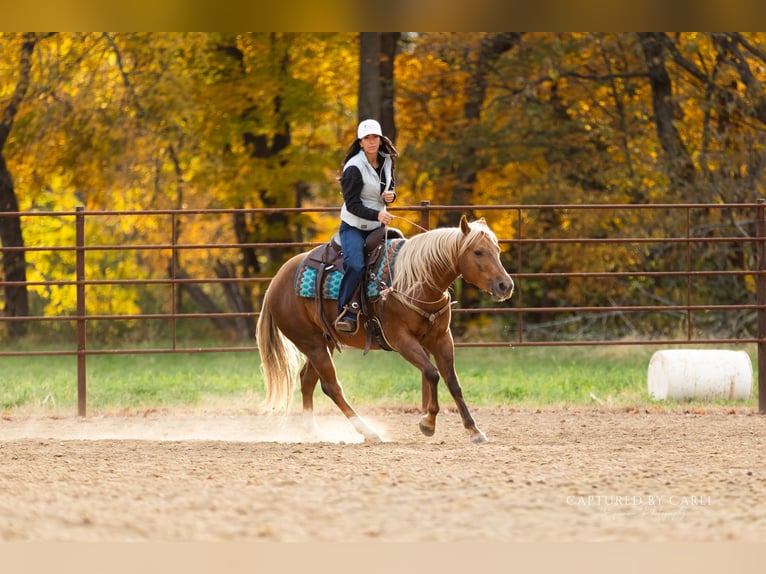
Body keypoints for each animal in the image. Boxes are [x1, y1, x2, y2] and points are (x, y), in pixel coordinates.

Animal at [255, 215, 514, 443]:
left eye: (497, 250)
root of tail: (275, 281)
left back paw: (313, 432)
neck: (416, 281)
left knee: (308, 380)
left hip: (323, 341)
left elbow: (453, 382)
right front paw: (428, 423)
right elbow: (432, 373)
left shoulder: (441, 338)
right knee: (332, 387)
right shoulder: (401, 339)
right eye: (478, 252)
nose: (506, 285)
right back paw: (368, 432)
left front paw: (474, 430)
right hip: (311, 343)